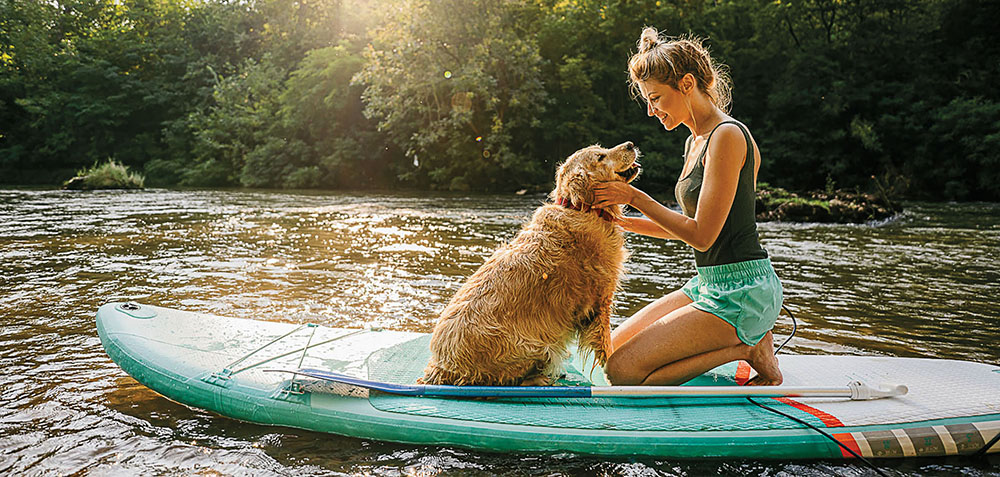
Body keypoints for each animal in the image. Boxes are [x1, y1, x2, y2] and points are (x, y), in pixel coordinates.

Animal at [420, 141, 640, 386]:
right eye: (600, 156)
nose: (630, 144)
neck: (582, 208)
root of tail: (441, 368)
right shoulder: (601, 300)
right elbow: (607, 347)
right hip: (534, 345)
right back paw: (543, 378)